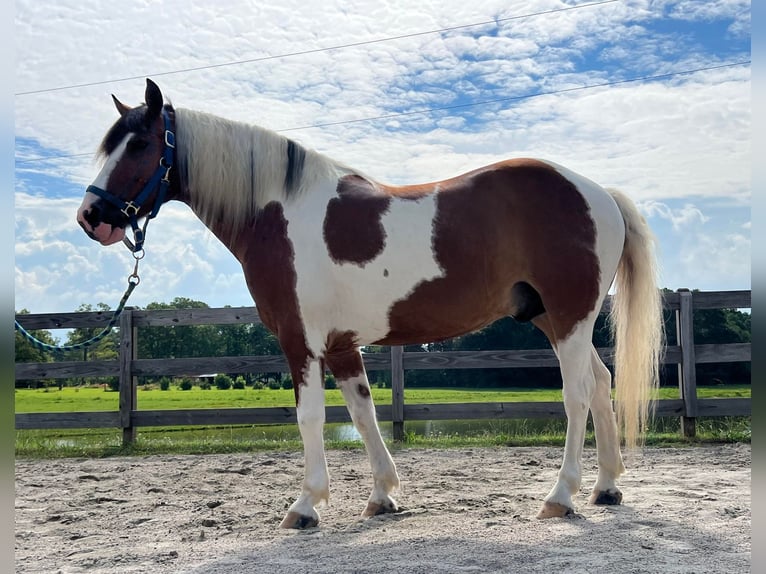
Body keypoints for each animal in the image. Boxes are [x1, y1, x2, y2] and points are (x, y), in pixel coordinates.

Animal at [79, 81, 664, 532]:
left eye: (139, 143)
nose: (91, 217)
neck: (277, 212)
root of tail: (598, 193)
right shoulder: (341, 347)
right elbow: (363, 416)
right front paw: (383, 496)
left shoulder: (300, 341)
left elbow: (311, 418)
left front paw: (305, 505)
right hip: (557, 321)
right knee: (603, 384)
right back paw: (606, 488)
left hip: (569, 320)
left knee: (578, 395)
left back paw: (561, 496)